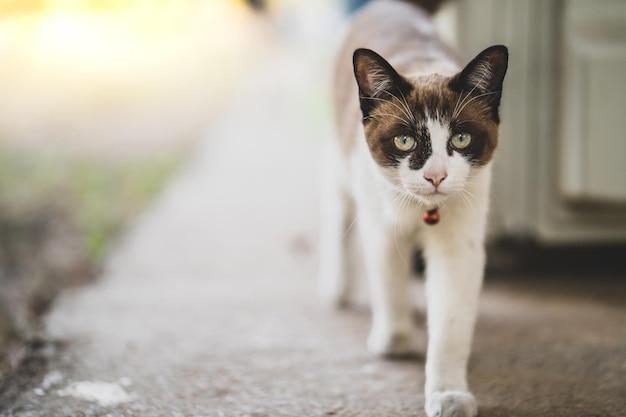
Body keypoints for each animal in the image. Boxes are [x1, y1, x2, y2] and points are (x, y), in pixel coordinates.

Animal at [316, 0, 508, 416]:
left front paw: (449, 395)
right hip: (341, 166)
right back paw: (336, 286)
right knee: (336, 211)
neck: (423, 212)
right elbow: (388, 283)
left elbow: (451, 327)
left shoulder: (459, 246)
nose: (436, 176)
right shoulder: (380, 227)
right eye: (404, 141)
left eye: (461, 138)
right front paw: (394, 338)